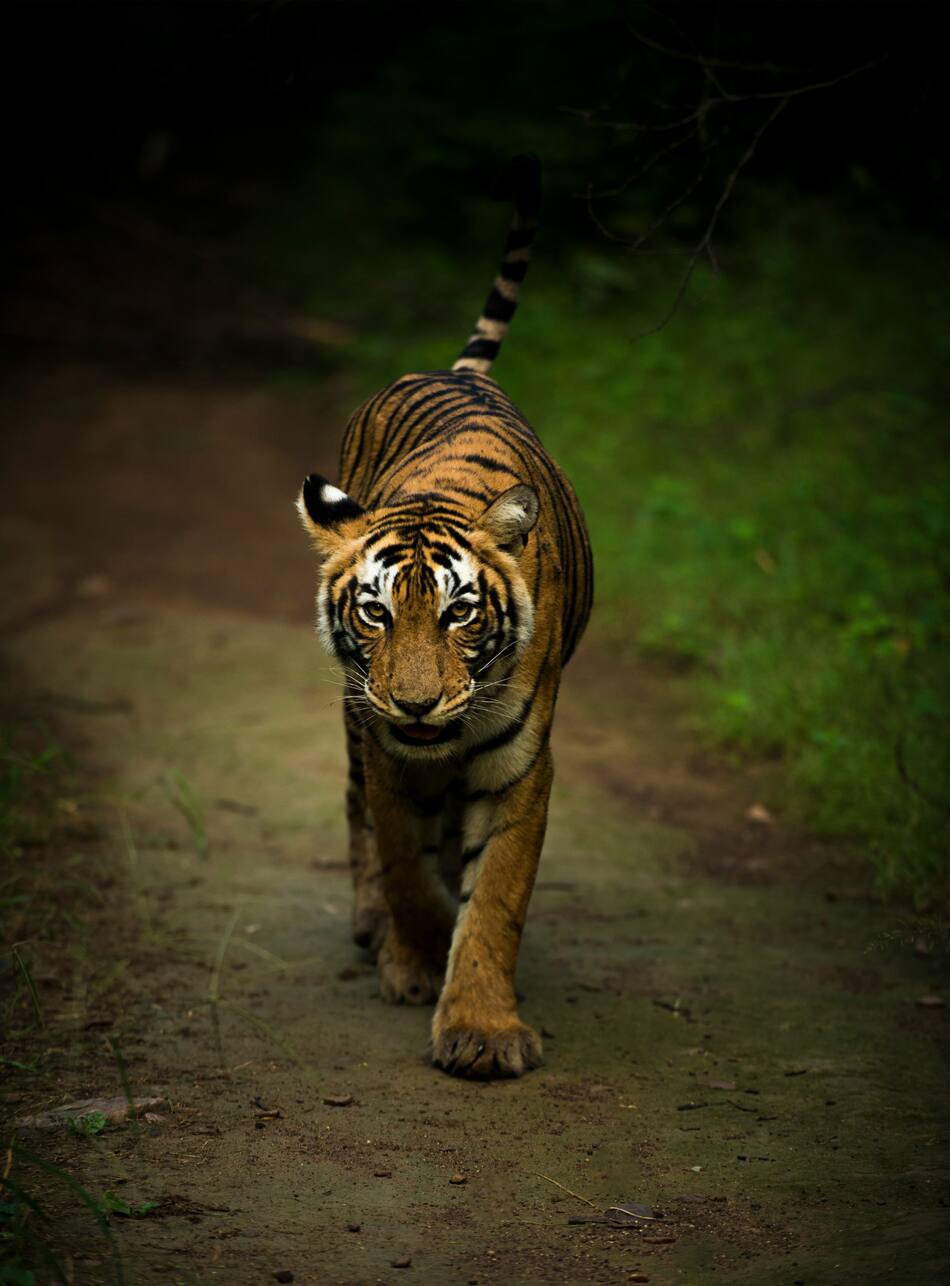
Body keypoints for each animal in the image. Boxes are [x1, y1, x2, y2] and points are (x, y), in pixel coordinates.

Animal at [297, 154, 592, 1078]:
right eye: (375, 614)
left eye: (462, 613)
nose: (418, 703)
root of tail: (459, 372)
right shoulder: (388, 749)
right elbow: (404, 861)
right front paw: (416, 955)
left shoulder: (521, 767)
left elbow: (494, 896)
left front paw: (482, 1029)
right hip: (352, 717)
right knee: (357, 808)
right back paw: (373, 927)